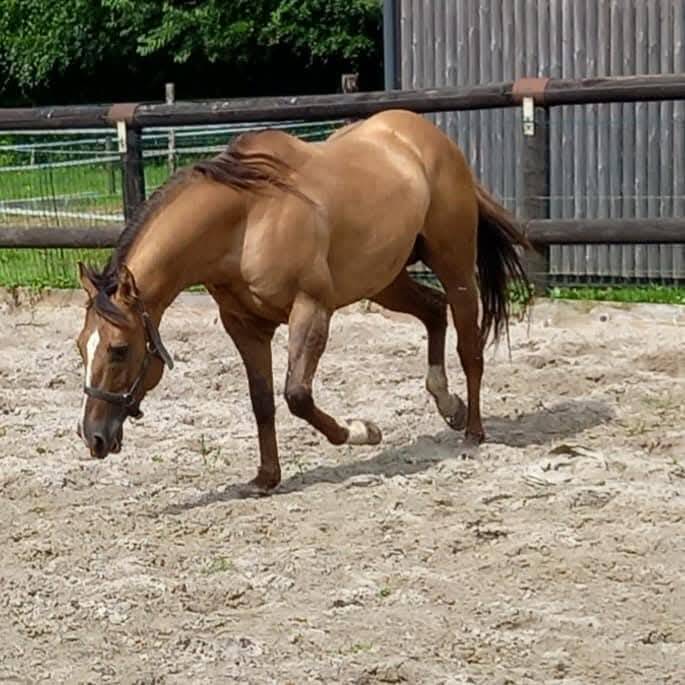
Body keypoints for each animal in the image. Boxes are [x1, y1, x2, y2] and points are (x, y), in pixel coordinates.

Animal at [76, 109, 532, 493]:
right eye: (82, 347)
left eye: (118, 349)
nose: (93, 436)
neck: (245, 219)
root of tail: (428, 137)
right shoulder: (244, 326)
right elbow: (262, 401)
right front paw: (266, 478)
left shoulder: (311, 309)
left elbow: (296, 395)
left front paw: (363, 431)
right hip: (384, 280)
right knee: (434, 310)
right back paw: (448, 405)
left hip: (455, 267)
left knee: (469, 346)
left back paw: (472, 431)